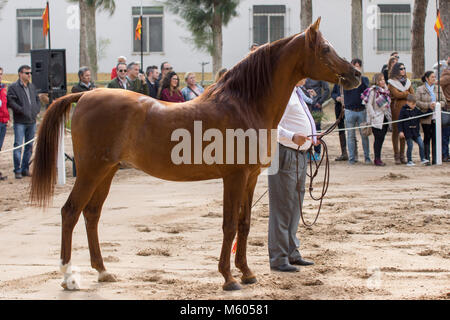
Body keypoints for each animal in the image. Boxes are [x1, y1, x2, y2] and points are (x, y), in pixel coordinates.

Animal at [30, 18, 362, 292]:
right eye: (325, 49)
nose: (356, 74)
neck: (244, 104)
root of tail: (86, 94)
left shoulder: (251, 177)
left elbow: (244, 224)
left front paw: (247, 273)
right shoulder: (234, 177)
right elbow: (229, 225)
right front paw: (228, 278)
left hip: (108, 171)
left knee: (91, 214)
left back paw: (102, 271)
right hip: (90, 171)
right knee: (70, 212)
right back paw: (68, 277)